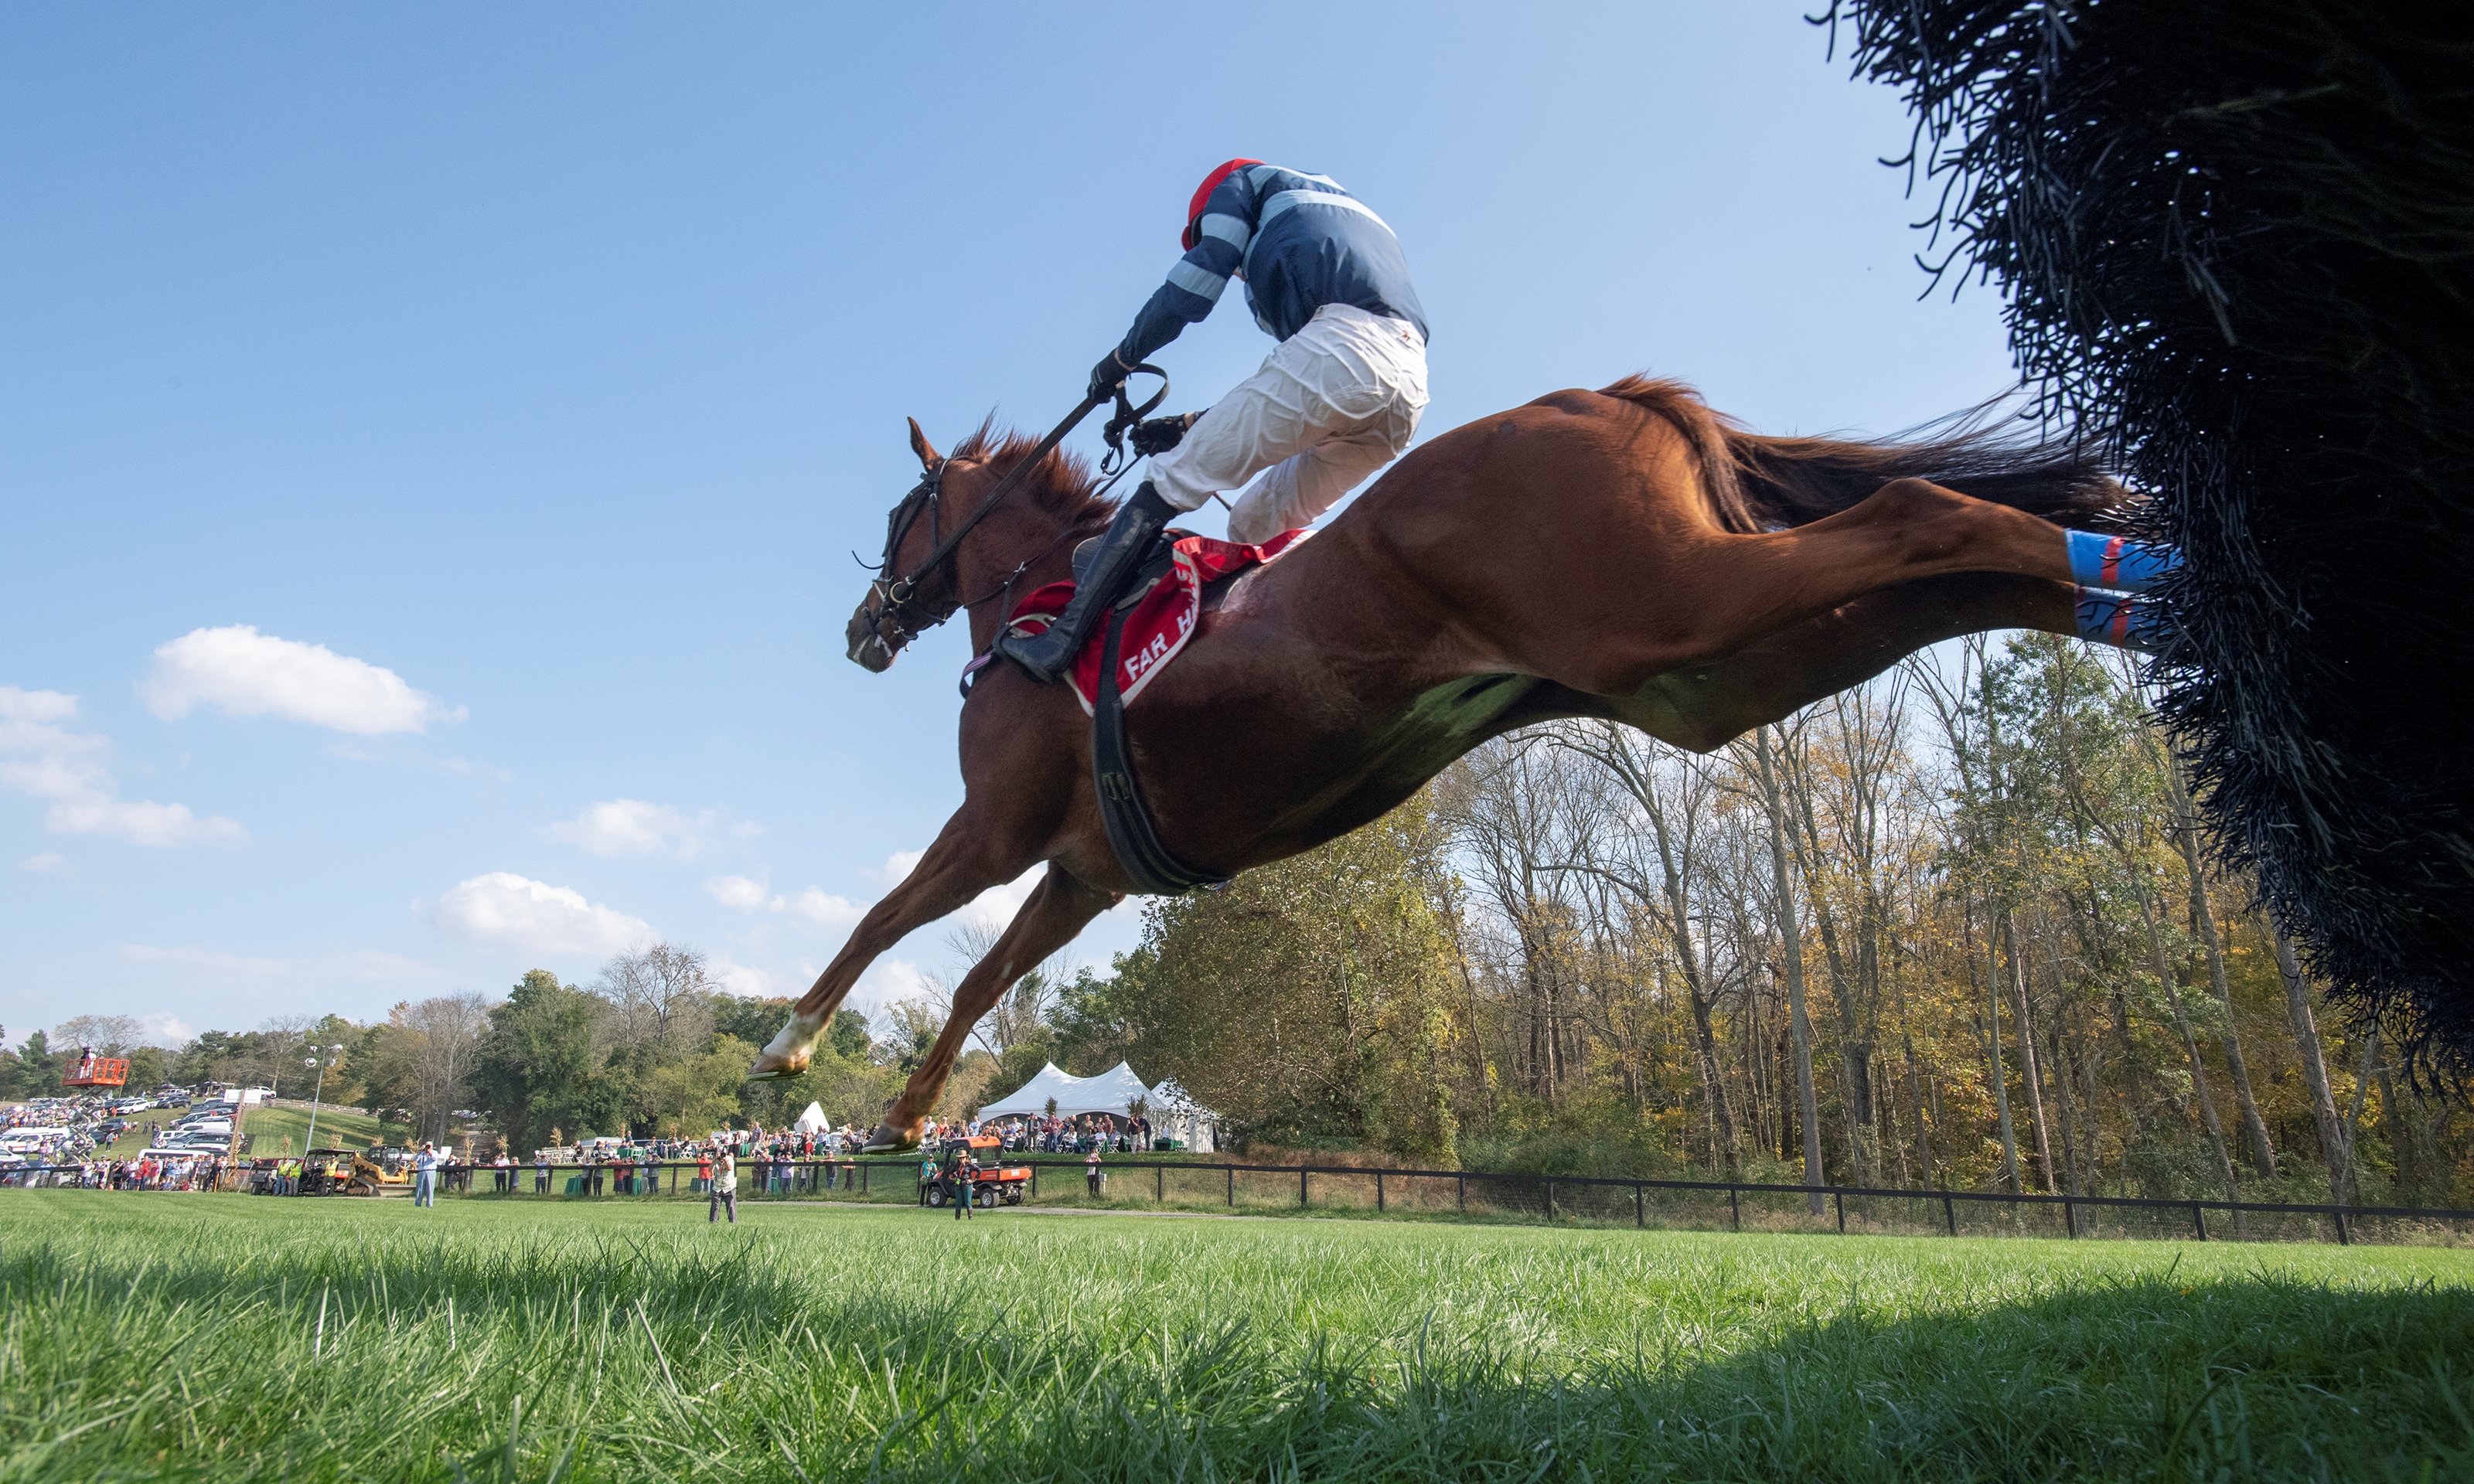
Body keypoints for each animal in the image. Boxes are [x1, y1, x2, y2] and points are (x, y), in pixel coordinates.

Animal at [751, 373, 2128, 1147]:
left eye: (900, 516)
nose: (865, 625)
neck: (1051, 598)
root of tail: (1620, 397)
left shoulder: (995, 827)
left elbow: (882, 915)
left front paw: (790, 1045)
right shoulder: (1087, 872)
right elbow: (982, 982)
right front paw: (907, 1114)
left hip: (1673, 610)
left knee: (1921, 515)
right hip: (1703, 671)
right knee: (1954, 566)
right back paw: (2133, 592)